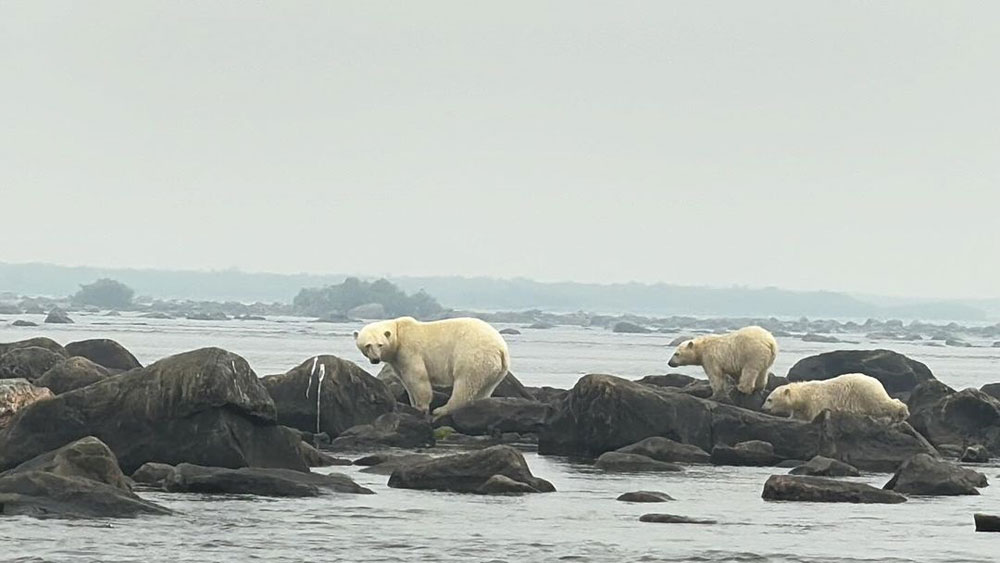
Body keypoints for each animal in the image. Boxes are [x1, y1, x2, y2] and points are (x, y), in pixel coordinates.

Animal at [354, 318, 512, 418]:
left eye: (380, 344)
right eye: (367, 345)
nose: (375, 359)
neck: (399, 332)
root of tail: (501, 349)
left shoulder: (410, 350)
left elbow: (418, 377)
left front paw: (422, 407)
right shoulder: (397, 361)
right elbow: (406, 381)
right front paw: (413, 404)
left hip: (472, 355)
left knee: (464, 384)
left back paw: (441, 410)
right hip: (495, 369)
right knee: (485, 387)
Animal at [760, 374, 912, 424]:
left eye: (769, 399)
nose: (763, 408)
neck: (804, 394)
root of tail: (877, 381)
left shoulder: (816, 402)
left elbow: (813, 416)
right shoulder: (802, 407)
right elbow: (798, 415)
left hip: (866, 393)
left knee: (882, 404)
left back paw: (901, 413)